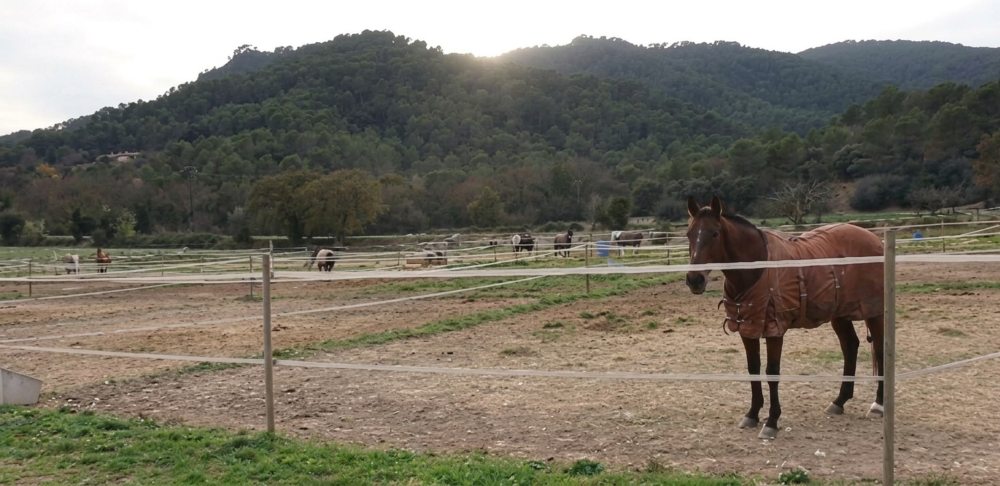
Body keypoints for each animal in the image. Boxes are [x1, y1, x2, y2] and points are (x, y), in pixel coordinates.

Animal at [684, 196, 885, 439]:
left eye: (714, 233)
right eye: (689, 233)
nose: (694, 279)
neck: (755, 268)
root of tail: (874, 239)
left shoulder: (774, 329)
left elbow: (772, 372)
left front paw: (771, 421)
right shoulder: (747, 328)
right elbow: (753, 369)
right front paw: (752, 414)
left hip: (874, 312)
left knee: (880, 350)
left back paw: (878, 405)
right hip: (839, 314)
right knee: (850, 347)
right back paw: (839, 401)